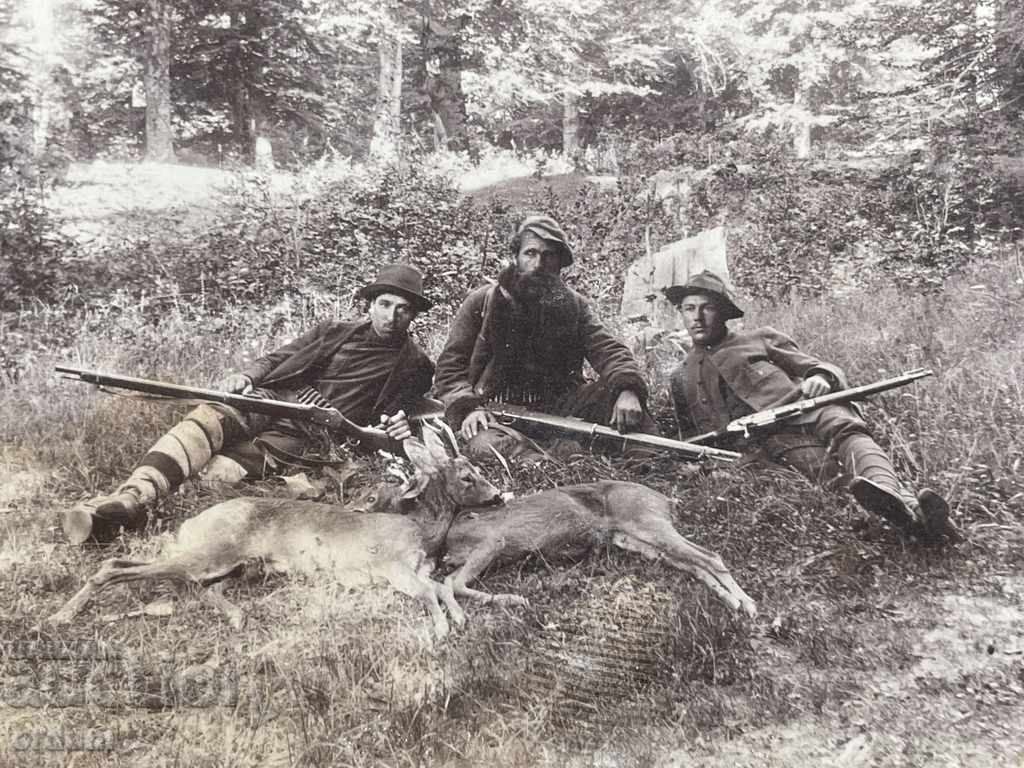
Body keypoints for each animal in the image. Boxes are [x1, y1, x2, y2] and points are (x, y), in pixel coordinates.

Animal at [46, 429, 502, 639]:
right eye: (468, 476)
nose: (497, 495)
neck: (422, 531)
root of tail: (191, 524)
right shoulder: (392, 565)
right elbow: (428, 592)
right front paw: (442, 629)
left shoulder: (419, 569)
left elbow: (441, 586)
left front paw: (458, 617)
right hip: (212, 552)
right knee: (119, 566)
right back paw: (60, 615)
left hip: (232, 565)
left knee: (198, 586)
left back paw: (237, 616)